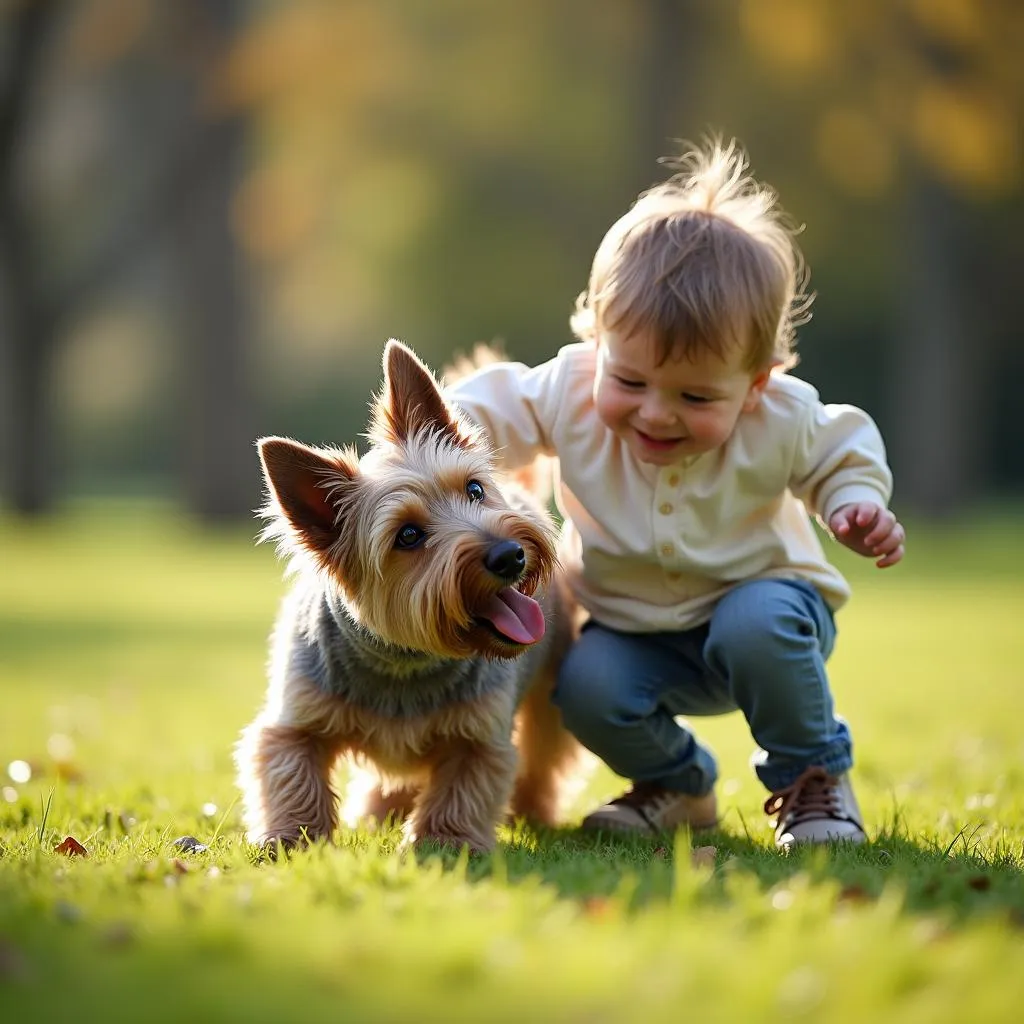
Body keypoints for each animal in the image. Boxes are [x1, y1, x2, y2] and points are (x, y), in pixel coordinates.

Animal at [234, 339, 581, 851]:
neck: (406, 660)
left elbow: (462, 789)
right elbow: (292, 771)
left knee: (543, 758)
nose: (510, 556)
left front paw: (444, 843)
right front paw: (291, 837)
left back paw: (533, 812)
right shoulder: (297, 716)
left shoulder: (479, 734)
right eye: (409, 536)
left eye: (474, 489)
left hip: (547, 699)